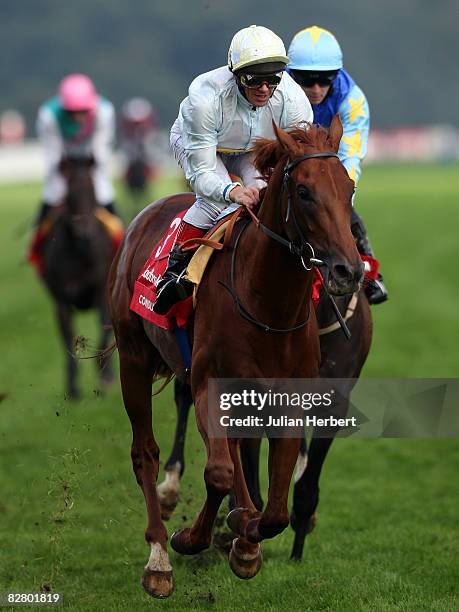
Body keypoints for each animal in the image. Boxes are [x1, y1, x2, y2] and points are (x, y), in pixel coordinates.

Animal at [41, 157, 115, 396]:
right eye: (70, 193)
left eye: (92, 189)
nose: (86, 233)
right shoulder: (62, 300)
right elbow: (67, 335)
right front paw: (73, 387)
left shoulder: (102, 294)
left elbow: (104, 327)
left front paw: (106, 377)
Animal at [109, 116, 364, 596]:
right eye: (304, 191)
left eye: (349, 187)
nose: (348, 270)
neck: (266, 303)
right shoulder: (208, 384)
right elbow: (218, 473)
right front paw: (190, 539)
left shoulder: (288, 397)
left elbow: (275, 508)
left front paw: (246, 538)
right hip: (132, 357)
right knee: (144, 452)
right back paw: (158, 558)